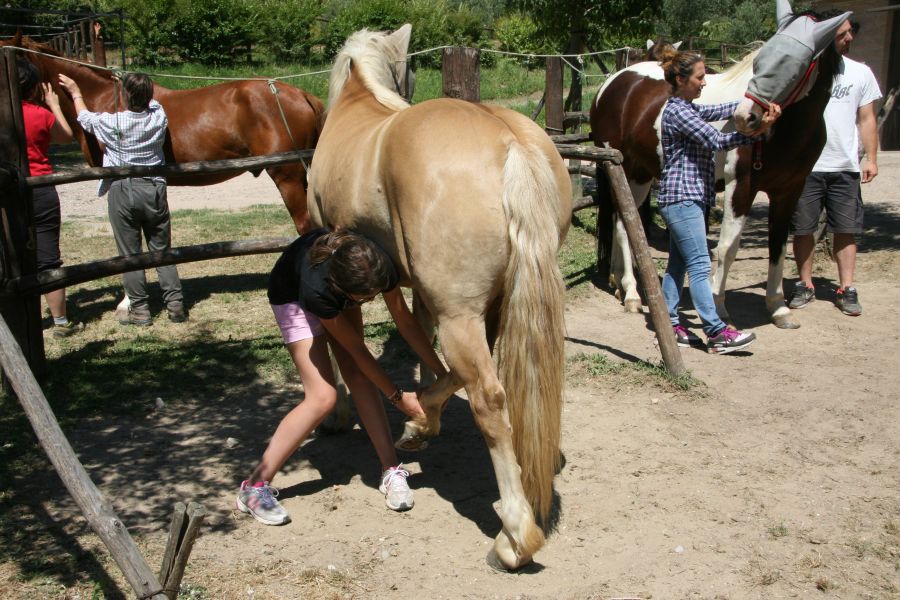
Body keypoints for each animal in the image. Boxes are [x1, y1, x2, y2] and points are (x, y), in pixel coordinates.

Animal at [310, 25, 572, 568]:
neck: (358, 99)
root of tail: (509, 140)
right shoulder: (423, 295)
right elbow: (426, 349)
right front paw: (423, 417)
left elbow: (338, 348)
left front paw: (342, 414)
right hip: (492, 309)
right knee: (484, 375)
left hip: (463, 316)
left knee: (489, 397)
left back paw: (514, 538)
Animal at [592, 0, 852, 328]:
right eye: (760, 60)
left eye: (794, 66)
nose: (745, 117)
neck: (785, 130)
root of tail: (614, 82)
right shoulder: (740, 185)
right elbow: (727, 247)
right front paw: (717, 306)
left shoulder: (790, 190)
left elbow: (779, 246)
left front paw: (778, 307)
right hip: (627, 172)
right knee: (626, 226)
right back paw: (632, 295)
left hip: (639, 174)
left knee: (620, 220)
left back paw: (619, 283)